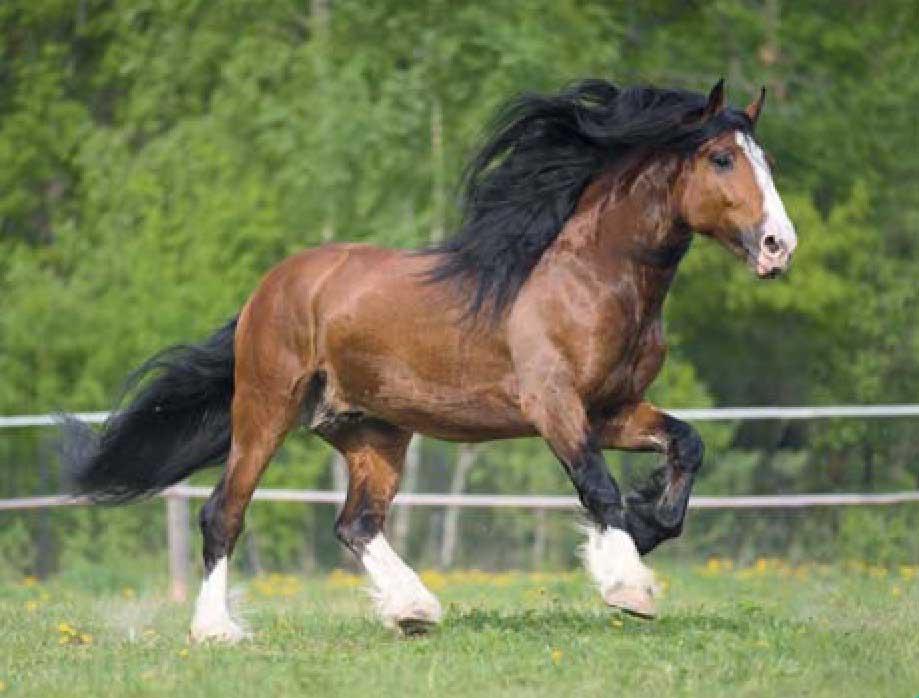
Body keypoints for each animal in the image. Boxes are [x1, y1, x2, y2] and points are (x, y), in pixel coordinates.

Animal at [64, 79, 796, 640]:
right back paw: (217, 630)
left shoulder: (612, 409)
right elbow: (597, 485)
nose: (777, 245)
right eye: (721, 159)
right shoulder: (554, 405)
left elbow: (687, 446)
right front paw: (628, 585)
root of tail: (268, 289)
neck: (591, 276)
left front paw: (645, 528)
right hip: (265, 408)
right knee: (225, 512)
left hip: (373, 430)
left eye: (764, 159)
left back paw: (413, 610)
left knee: (356, 523)